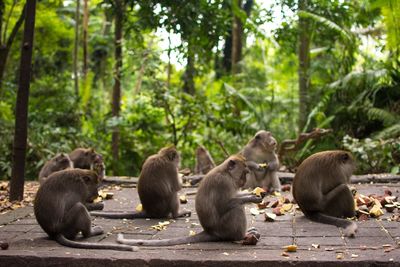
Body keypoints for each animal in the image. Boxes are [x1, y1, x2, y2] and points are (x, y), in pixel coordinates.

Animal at [115, 155, 262, 247]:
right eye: (244, 173)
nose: (244, 182)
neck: (227, 173)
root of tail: (210, 231)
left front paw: (255, 193)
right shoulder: (223, 183)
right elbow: (224, 205)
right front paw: (251, 198)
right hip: (225, 227)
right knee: (237, 208)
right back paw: (241, 236)